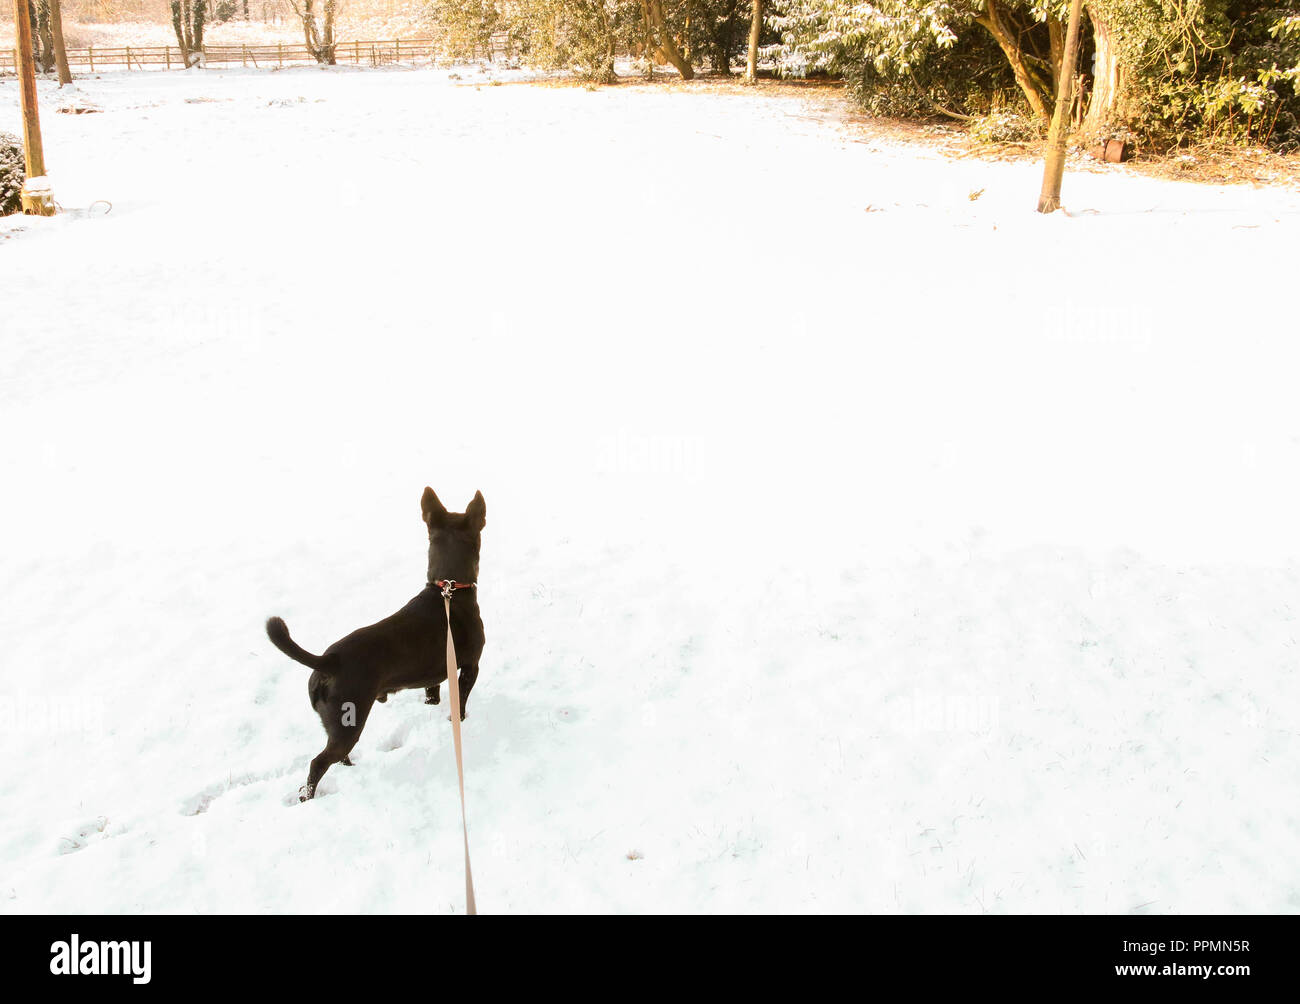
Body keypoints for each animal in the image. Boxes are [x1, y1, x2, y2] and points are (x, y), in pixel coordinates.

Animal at [266, 486, 486, 801]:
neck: (449, 591)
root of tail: (328, 660)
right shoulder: (470, 666)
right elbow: (461, 703)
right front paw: (460, 721)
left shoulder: (434, 675)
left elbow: (432, 695)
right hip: (349, 720)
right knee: (318, 763)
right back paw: (308, 797)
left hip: (339, 723)